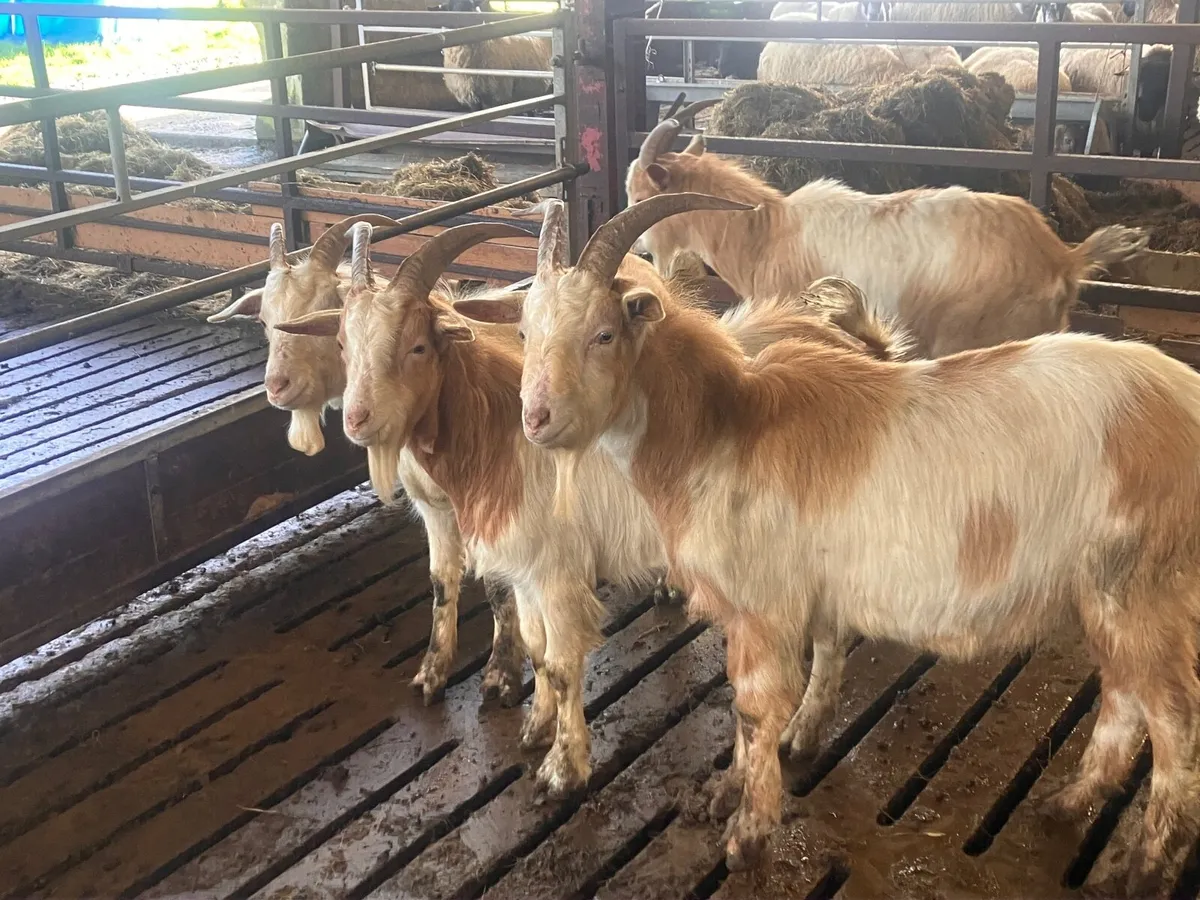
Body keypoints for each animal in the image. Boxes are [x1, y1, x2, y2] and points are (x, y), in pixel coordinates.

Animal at [209, 215, 526, 708]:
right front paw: (432, 672)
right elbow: (441, 580)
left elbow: (499, 583)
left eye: (418, 347)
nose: (277, 386)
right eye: (263, 319)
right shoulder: (432, 506)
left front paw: (502, 676)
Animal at [275, 214, 915, 798]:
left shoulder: (557, 572)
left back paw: (801, 734)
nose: (357, 420)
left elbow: (561, 666)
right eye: (341, 343)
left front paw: (564, 767)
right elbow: (535, 652)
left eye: (416, 345)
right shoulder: (526, 570)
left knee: (831, 637)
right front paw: (534, 726)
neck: (497, 434)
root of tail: (865, 348)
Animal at [455, 189, 1200, 894]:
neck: (723, 430)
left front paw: (747, 834)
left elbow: (756, 709)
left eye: (604, 333)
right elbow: (752, 708)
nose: (535, 419)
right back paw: (1067, 802)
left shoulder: (764, 604)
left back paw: (1146, 862)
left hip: (1145, 586)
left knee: (1172, 718)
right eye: (524, 330)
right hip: (1106, 593)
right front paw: (728, 789)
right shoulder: (769, 606)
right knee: (1124, 700)